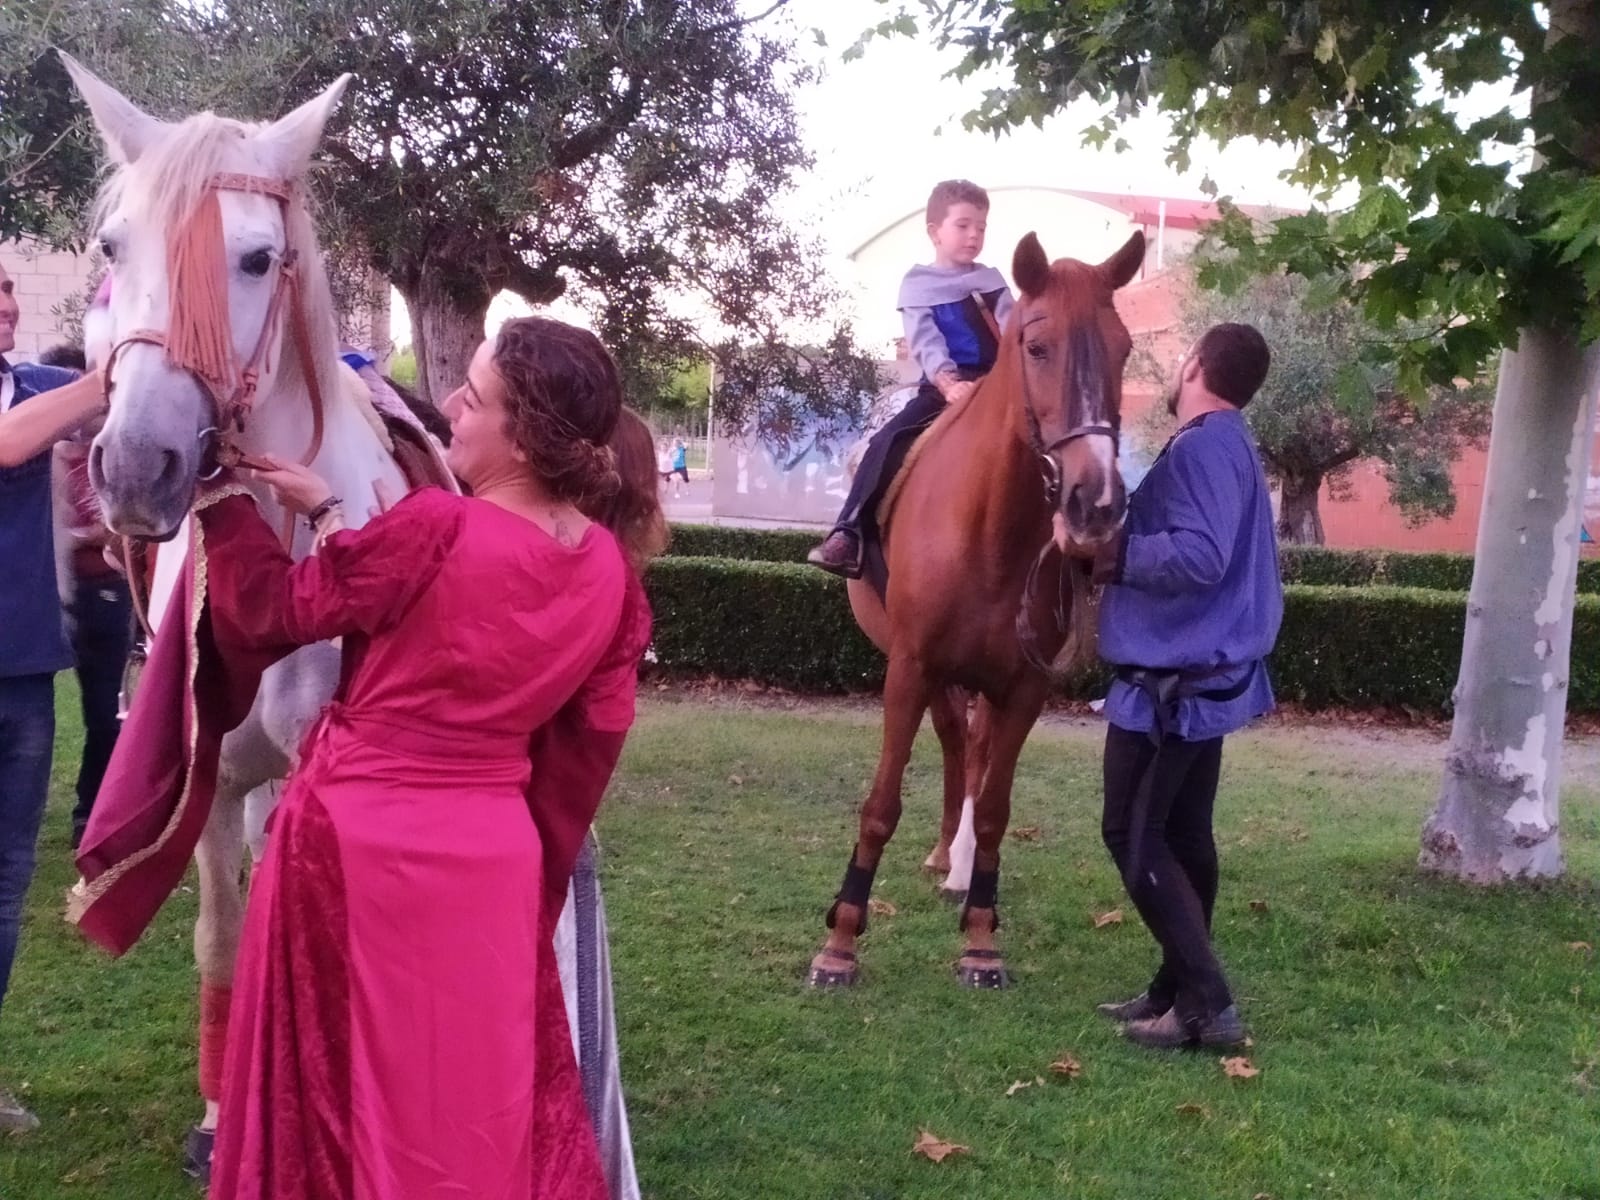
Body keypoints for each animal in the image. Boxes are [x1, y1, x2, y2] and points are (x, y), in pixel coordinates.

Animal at [812, 230, 1139, 992]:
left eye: (1124, 349)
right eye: (1037, 347)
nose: (1096, 506)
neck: (989, 531)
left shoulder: (1024, 686)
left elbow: (994, 809)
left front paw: (982, 939)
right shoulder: (910, 668)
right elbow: (882, 804)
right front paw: (841, 942)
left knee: (975, 754)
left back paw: (958, 866)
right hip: (932, 674)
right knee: (955, 746)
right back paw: (941, 856)